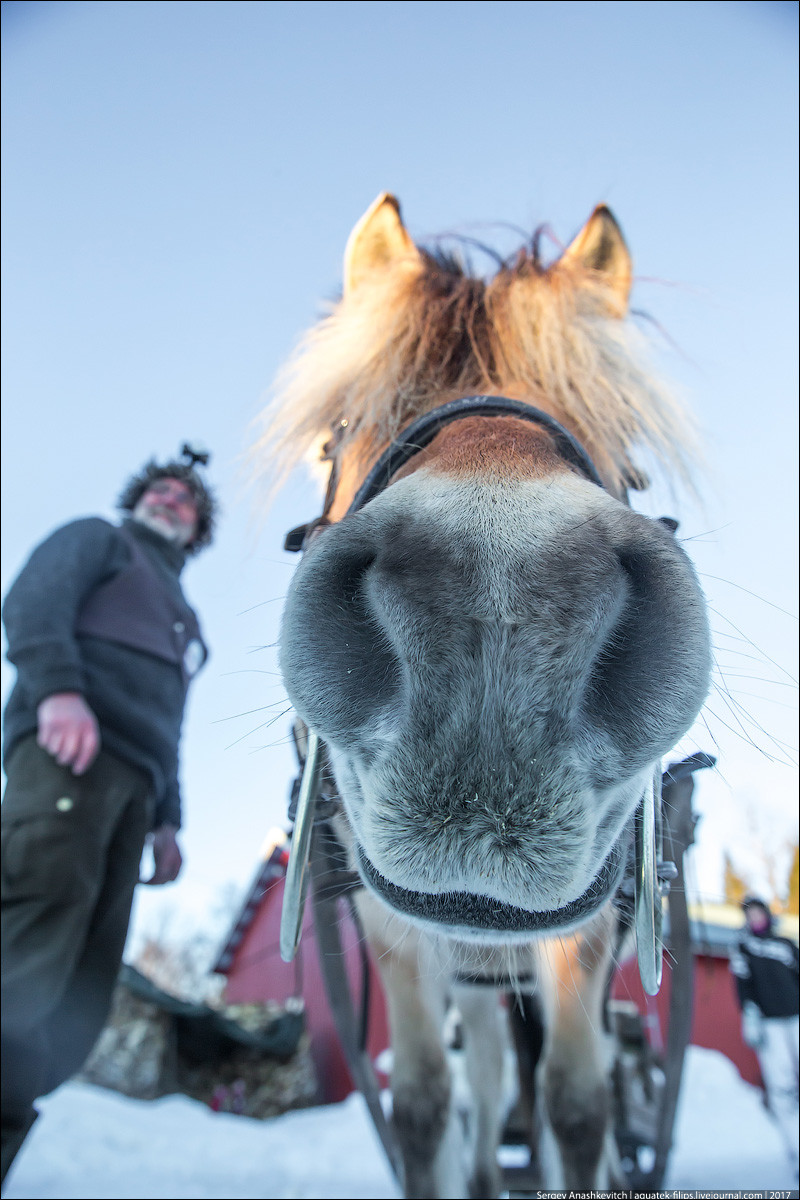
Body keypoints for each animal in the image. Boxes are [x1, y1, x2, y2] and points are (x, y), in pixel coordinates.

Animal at [253, 192, 710, 1195]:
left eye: (627, 445)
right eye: (339, 430)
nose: (496, 621)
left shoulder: (585, 934)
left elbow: (576, 1105)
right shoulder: (390, 928)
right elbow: (425, 1106)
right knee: (495, 1070)